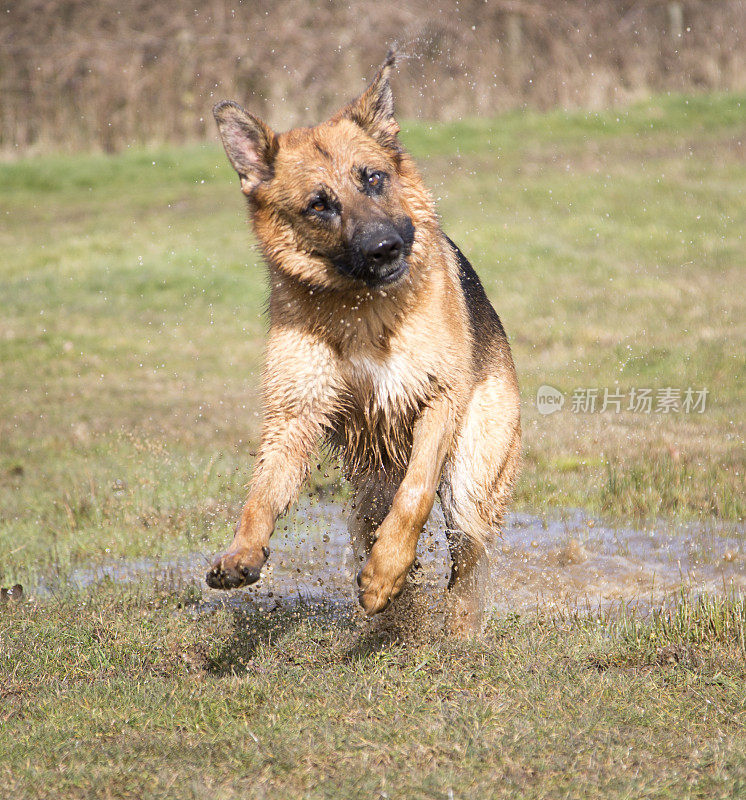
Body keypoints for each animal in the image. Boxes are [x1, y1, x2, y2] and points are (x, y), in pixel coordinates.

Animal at [203, 53, 516, 636]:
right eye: (319, 205)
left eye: (373, 178)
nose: (385, 248)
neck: (362, 310)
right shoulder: (294, 416)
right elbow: (260, 497)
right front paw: (241, 554)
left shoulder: (438, 400)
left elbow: (416, 496)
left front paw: (384, 573)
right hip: (369, 485)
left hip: (473, 475)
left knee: (466, 556)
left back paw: (457, 632)